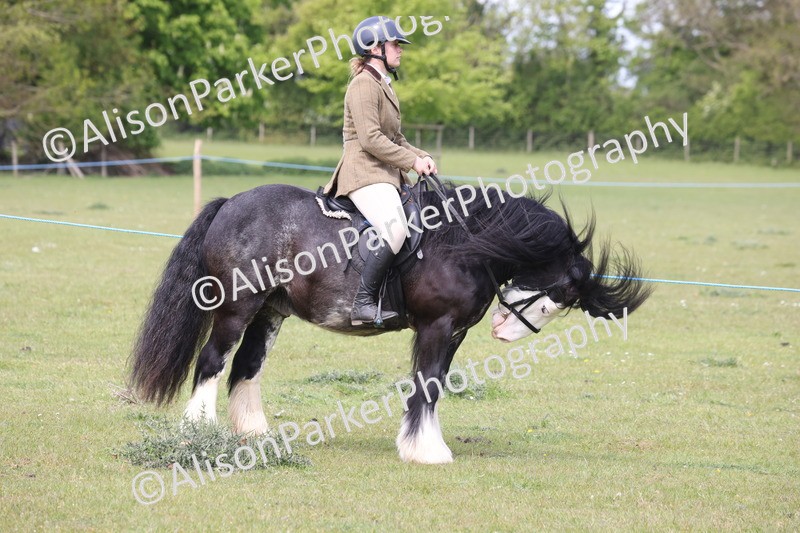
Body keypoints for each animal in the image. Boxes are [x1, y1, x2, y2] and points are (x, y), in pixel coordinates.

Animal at [129, 181, 651, 464]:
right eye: (558, 295)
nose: (506, 332)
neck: (464, 244)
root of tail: (233, 202)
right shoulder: (437, 327)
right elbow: (427, 384)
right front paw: (426, 450)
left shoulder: (453, 333)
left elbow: (433, 384)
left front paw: (422, 443)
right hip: (238, 308)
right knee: (212, 361)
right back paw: (199, 434)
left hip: (271, 312)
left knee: (246, 367)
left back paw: (254, 435)